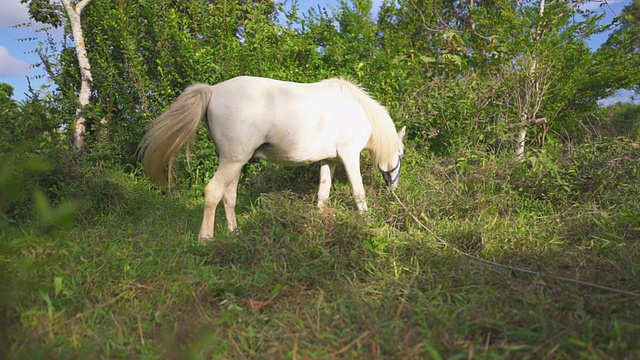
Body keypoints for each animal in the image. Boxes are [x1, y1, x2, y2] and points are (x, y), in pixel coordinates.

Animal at [142, 76, 408, 239]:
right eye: (401, 155)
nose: (394, 189)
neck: (358, 112)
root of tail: (213, 90)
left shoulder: (329, 161)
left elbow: (322, 195)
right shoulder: (349, 156)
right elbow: (358, 193)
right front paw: (367, 224)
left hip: (234, 162)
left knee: (229, 197)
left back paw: (234, 234)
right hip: (232, 162)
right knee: (213, 192)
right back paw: (206, 238)